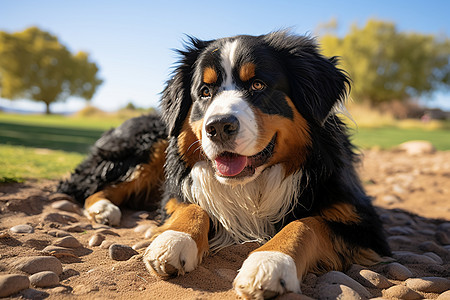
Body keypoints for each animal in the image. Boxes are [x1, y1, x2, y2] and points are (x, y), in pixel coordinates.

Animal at [59, 31, 390, 298]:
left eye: (258, 84)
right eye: (205, 92)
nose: (218, 127)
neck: (254, 185)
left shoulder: (361, 220)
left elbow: (305, 224)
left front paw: (269, 262)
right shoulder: (175, 192)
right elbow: (194, 207)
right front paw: (174, 240)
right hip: (149, 145)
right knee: (90, 185)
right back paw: (103, 209)